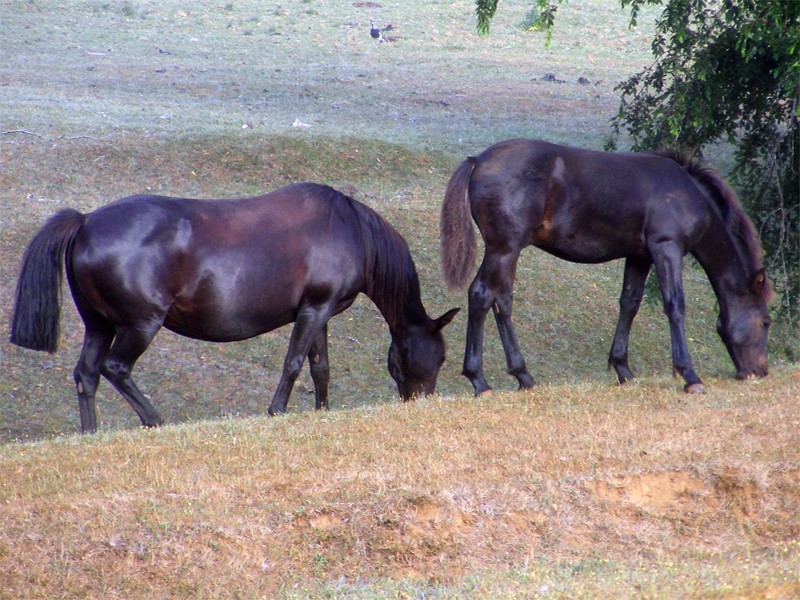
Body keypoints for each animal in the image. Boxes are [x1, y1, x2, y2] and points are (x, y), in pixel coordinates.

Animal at [10, 183, 456, 432]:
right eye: (437, 358)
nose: (422, 403)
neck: (349, 230)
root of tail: (85, 222)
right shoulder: (314, 310)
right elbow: (294, 364)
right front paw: (277, 411)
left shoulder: (320, 311)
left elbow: (320, 367)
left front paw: (322, 411)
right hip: (140, 325)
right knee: (116, 369)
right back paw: (154, 420)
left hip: (99, 325)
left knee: (86, 374)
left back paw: (92, 432)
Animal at [440, 138, 772, 396]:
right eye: (766, 322)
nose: (760, 372)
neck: (686, 194)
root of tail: (478, 160)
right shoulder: (667, 248)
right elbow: (675, 305)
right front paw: (690, 376)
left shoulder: (640, 256)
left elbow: (630, 304)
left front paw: (623, 369)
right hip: (504, 249)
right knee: (482, 295)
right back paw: (480, 381)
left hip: (508, 252)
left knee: (501, 300)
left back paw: (523, 376)